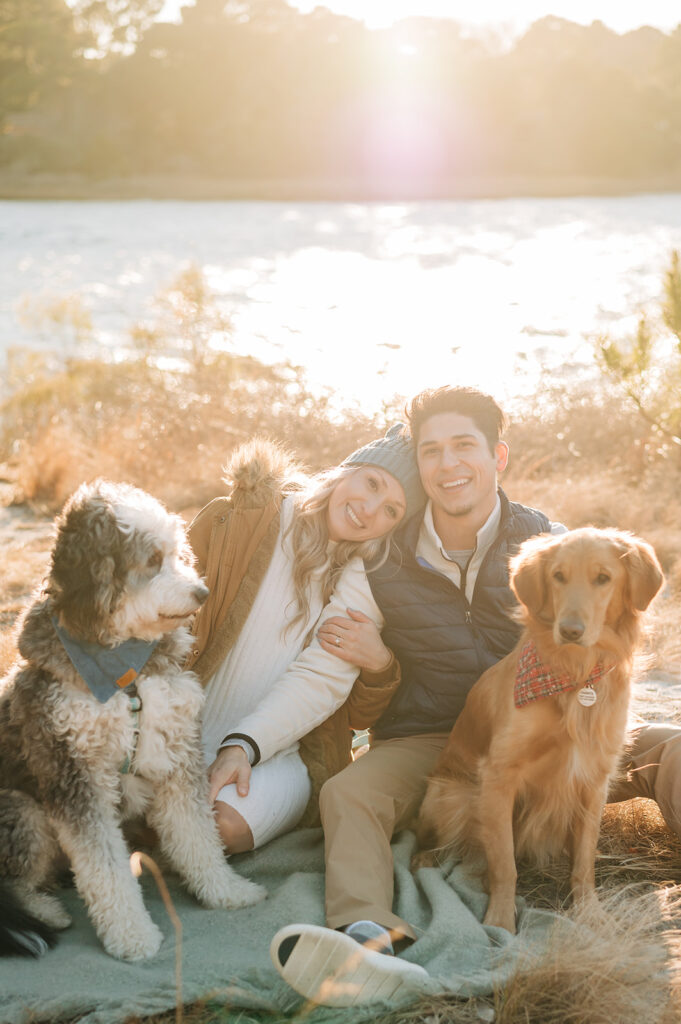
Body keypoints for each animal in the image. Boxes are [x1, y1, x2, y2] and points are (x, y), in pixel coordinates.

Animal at [0, 479, 264, 958]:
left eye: (178, 552)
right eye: (152, 560)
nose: (202, 593)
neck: (126, 674)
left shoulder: (174, 750)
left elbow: (198, 835)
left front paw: (225, 891)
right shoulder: (75, 777)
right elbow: (105, 869)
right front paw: (132, 935)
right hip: (23, 810)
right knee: (14, 883)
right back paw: (45, 911)